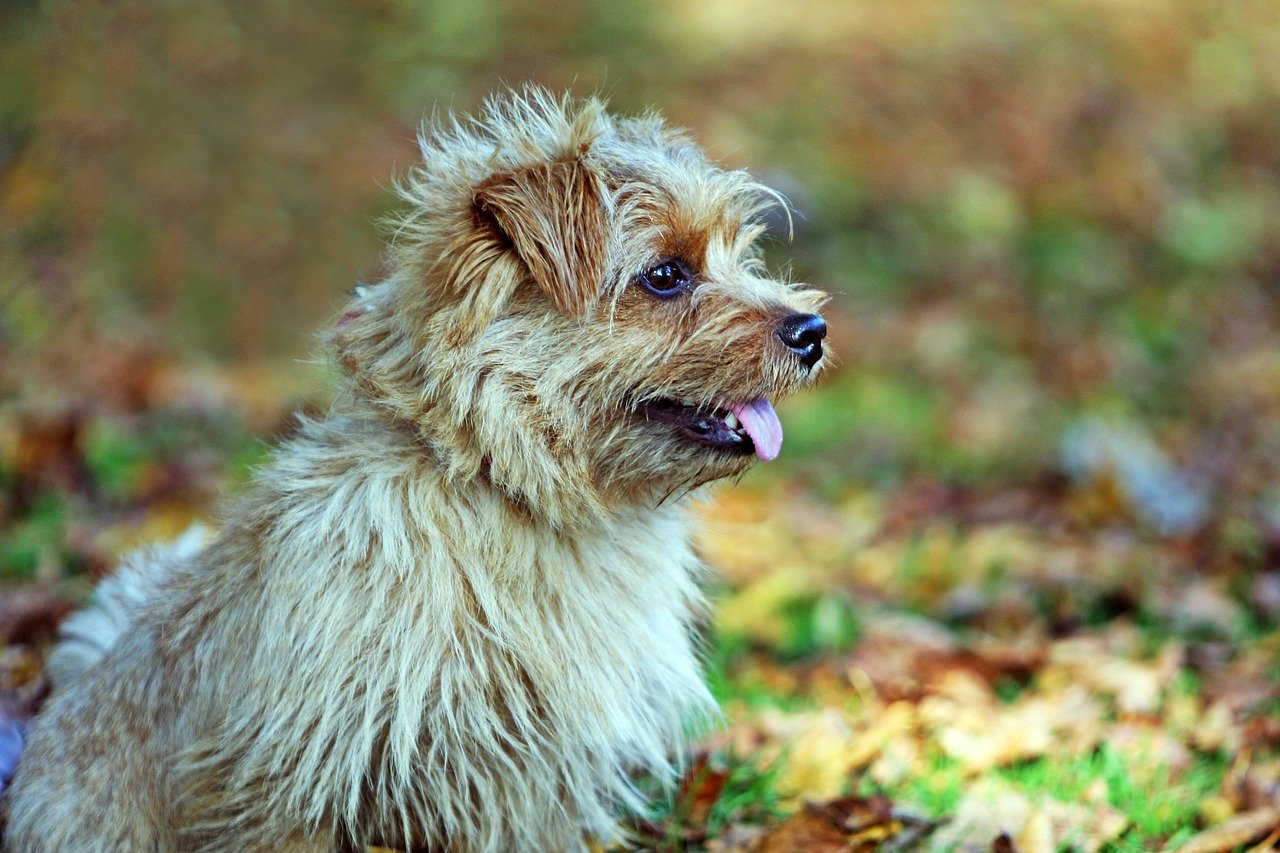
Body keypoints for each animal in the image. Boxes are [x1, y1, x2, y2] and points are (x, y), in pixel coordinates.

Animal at [5, 89, 829, 845]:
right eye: (664, 275)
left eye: (737, 254)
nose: (813, 329)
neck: (503, 488)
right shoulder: (287, 781)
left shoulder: (531, 788)